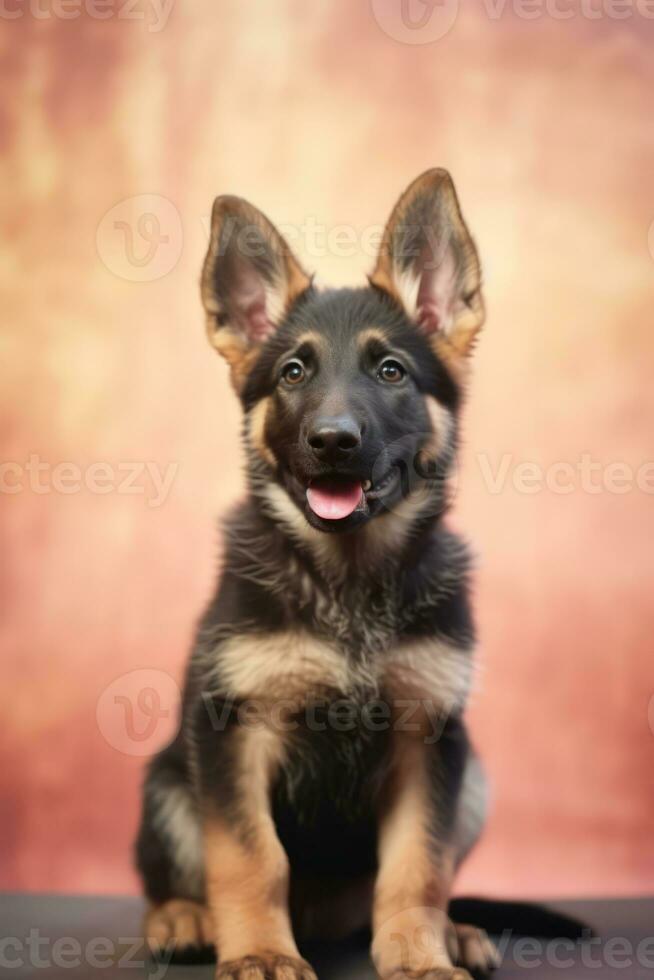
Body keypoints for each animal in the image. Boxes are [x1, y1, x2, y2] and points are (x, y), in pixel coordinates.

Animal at [137, 170, 498, 980]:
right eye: (293, 372)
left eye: (392, 371)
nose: (334, 441)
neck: (349, 581)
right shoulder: (235, 730)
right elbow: (250, 858)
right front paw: (260, 952)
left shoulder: (429, 738)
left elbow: (416, 868)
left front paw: (419, 955)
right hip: (169, 782)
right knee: (180, 874)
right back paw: (184, 918)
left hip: (473, 783)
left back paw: (452, 931)